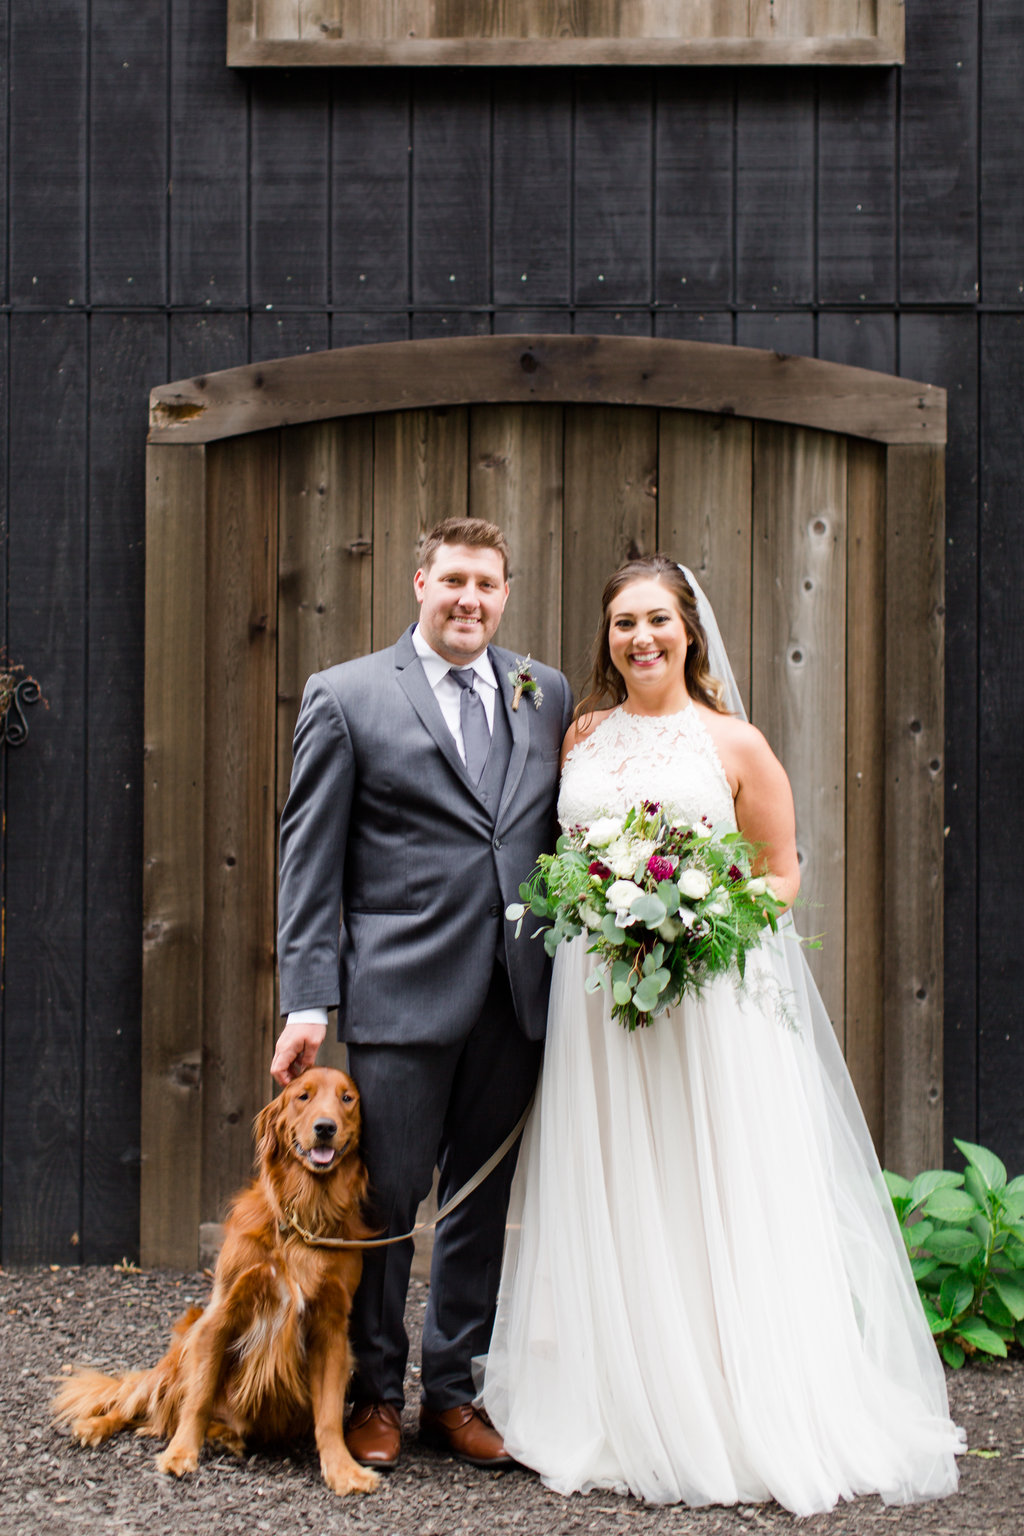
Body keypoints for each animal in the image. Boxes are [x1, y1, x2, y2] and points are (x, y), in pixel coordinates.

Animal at [52, 1075, 380, 1492]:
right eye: (303, 1096)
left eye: (347, 1098)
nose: (325, 1127)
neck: (304, 1218)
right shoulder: (219, 1316)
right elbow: (199, 1398)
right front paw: (180, 1454)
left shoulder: (332, 1331)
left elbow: (329, 1414)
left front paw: (342, 1469)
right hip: (183, 1344)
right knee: (143, 1404)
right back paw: (97, 1426)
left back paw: (224, 1435)